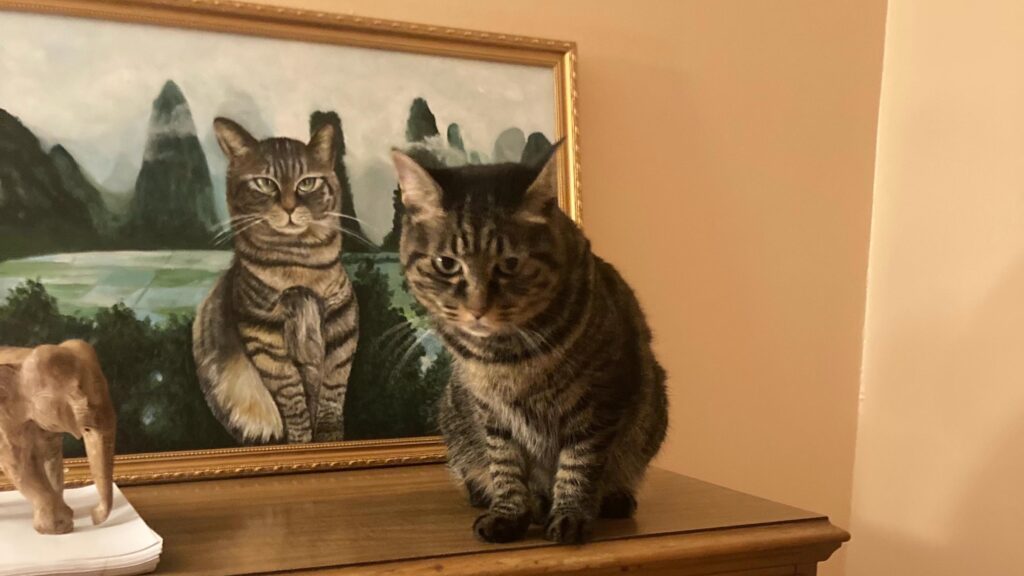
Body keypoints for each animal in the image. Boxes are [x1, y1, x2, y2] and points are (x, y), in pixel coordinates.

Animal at [193, 116, 358, 444]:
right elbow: (290, 391)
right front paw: (302, 440)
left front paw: (330, 436)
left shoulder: (342, 315)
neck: (296, 261)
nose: (290, 207)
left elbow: (334, 382)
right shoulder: (262, 328)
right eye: (265, 183)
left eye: (307, 182)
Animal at [387, 143, 667, 541]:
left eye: (510, 263)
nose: (477, 309)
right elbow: (505, 465)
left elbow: (579, 464)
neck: (505, 357)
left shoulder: (600, 401)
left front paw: (569, 516)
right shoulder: (490, 412)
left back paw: (612, 499)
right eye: (446, 263)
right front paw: (511, 513)